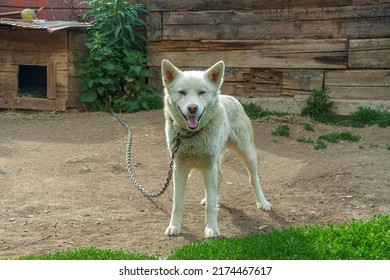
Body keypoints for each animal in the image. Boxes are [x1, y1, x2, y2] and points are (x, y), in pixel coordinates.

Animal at [161, 59, 272, 238]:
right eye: (182, 92)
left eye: (202, 92)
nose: (192, 108)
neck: (193, 135)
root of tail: (229, 97)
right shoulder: (179, 168)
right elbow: (177, 204)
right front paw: (174, 226)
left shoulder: (208, 166)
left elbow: (212, 206)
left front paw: (211, 228)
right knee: (219, 176)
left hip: (247, 154)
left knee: (254, 179)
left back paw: (262, 202)